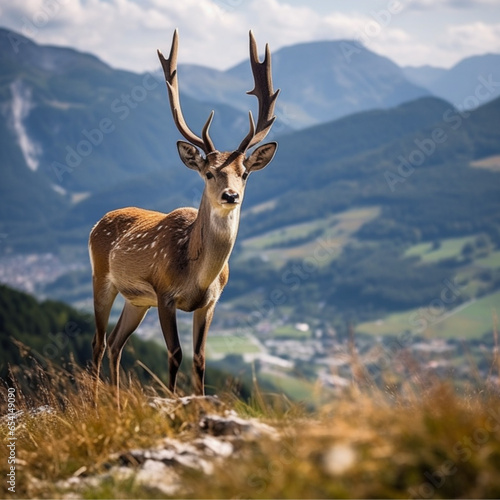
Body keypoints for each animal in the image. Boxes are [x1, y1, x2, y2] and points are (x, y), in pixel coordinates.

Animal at [88, 29, 280, 400]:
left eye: (245, 173)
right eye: (209, 173)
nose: (231, 195)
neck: (198, 276)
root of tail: (97, 222)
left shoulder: (210, 303)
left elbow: (200, 359)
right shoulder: (164, 294)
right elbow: (175, 354)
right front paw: (173, 399)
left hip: (137, 300)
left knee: (117, 343)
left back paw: (116, 403)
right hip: (102, 277)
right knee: (98, 343)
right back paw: (94, 404)